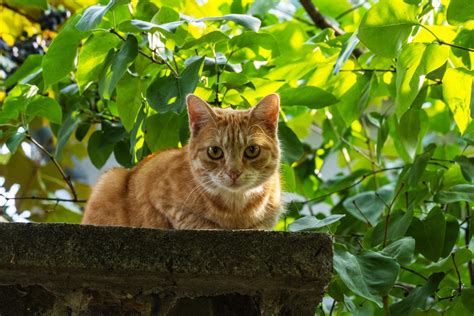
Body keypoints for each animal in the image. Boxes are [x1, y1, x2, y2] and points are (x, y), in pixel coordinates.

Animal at [82, 92, 282, 228]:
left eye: (252, 150)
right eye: (215, 151)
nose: (234, 172)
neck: (237, 210)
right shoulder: (159, 197)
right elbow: (195, 221)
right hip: (111, 178)